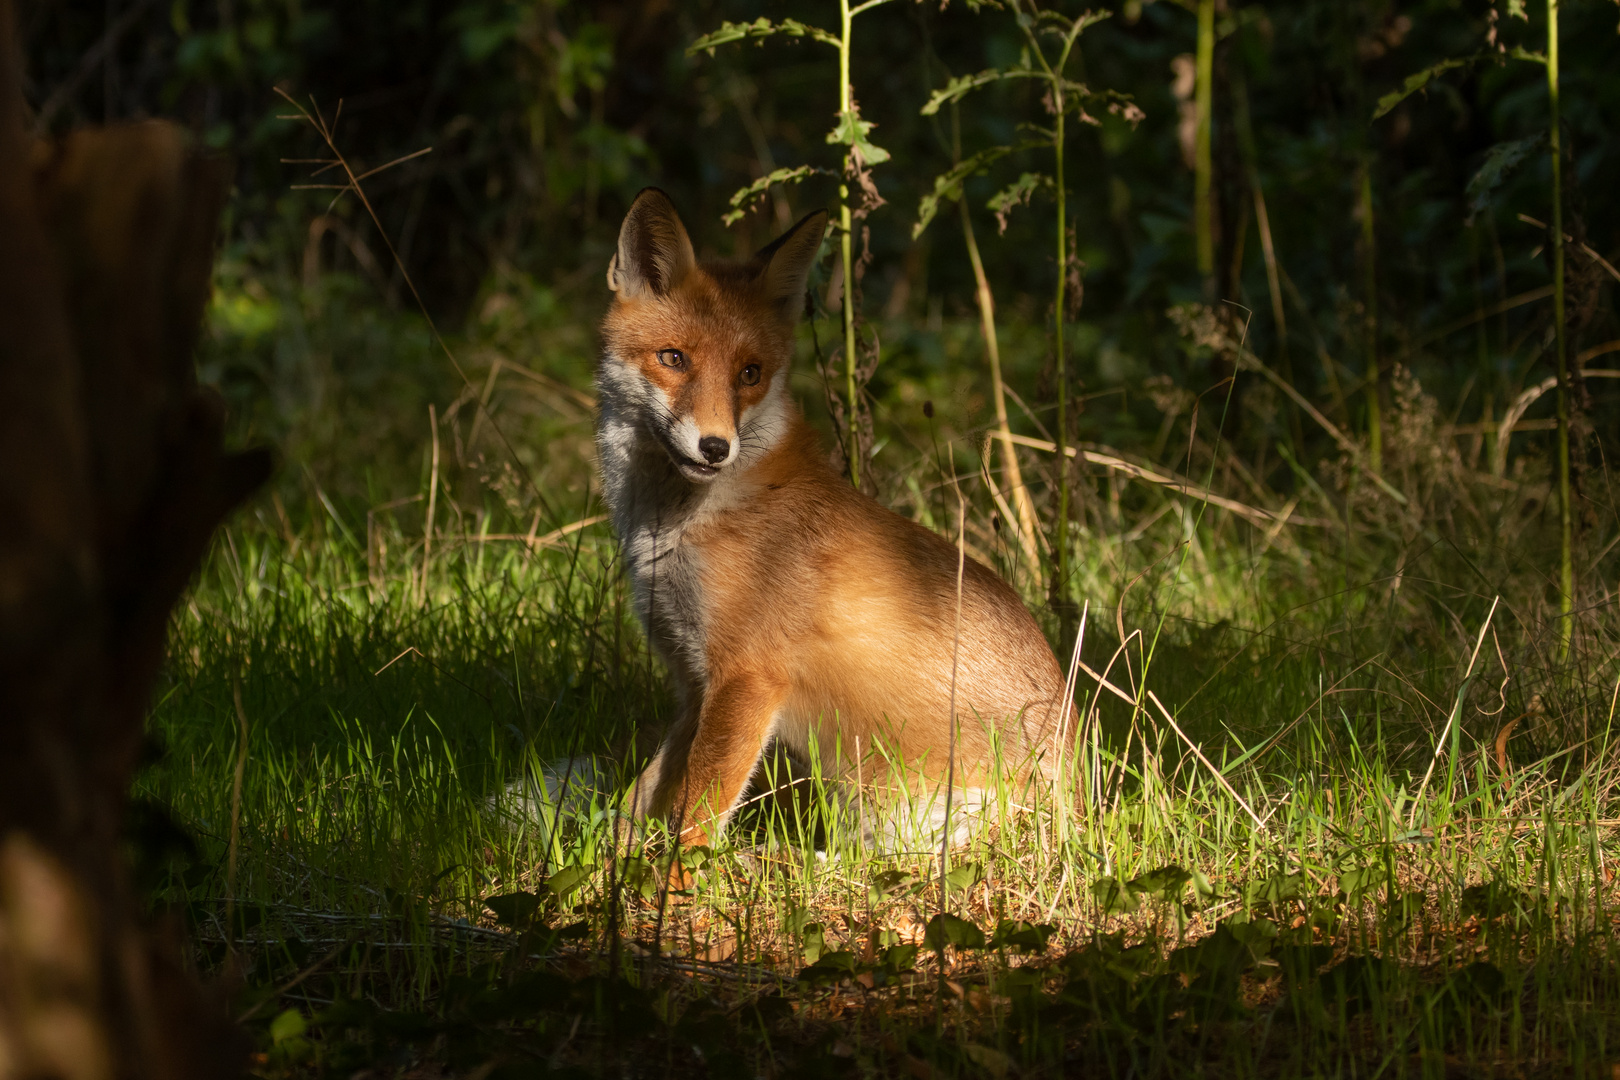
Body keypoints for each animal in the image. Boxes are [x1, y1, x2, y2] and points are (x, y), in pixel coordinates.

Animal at [596, 187, 1062, 841]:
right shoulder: (694, 682)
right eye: (673, 358)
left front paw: (672, 872)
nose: (715, 447)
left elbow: (695, 816)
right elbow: (643, 801)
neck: (673, 528)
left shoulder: (747, 675)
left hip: (900, 811)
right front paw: (605, 860)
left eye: (750, 373)